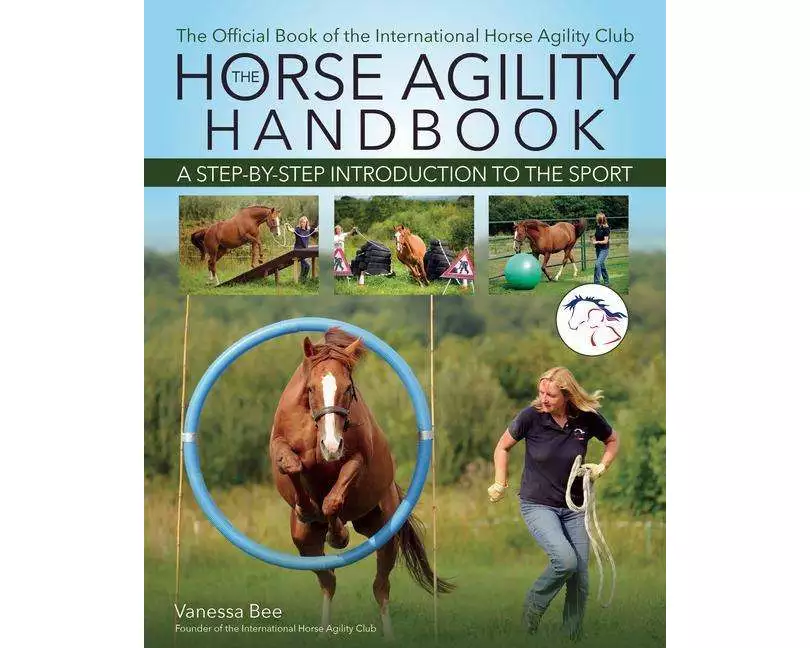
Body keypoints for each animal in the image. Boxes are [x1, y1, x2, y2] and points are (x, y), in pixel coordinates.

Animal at [270, 328, 453, 638]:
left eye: (348, 389)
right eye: (311, 389)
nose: (331, 445)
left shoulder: (356, 460)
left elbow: (333, 499)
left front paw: (338, 535)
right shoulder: (280, 446)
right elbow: (291, 463)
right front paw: (306, 508)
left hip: (383, 532)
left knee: (380, 587)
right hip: (304, 541)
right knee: (328, 581)